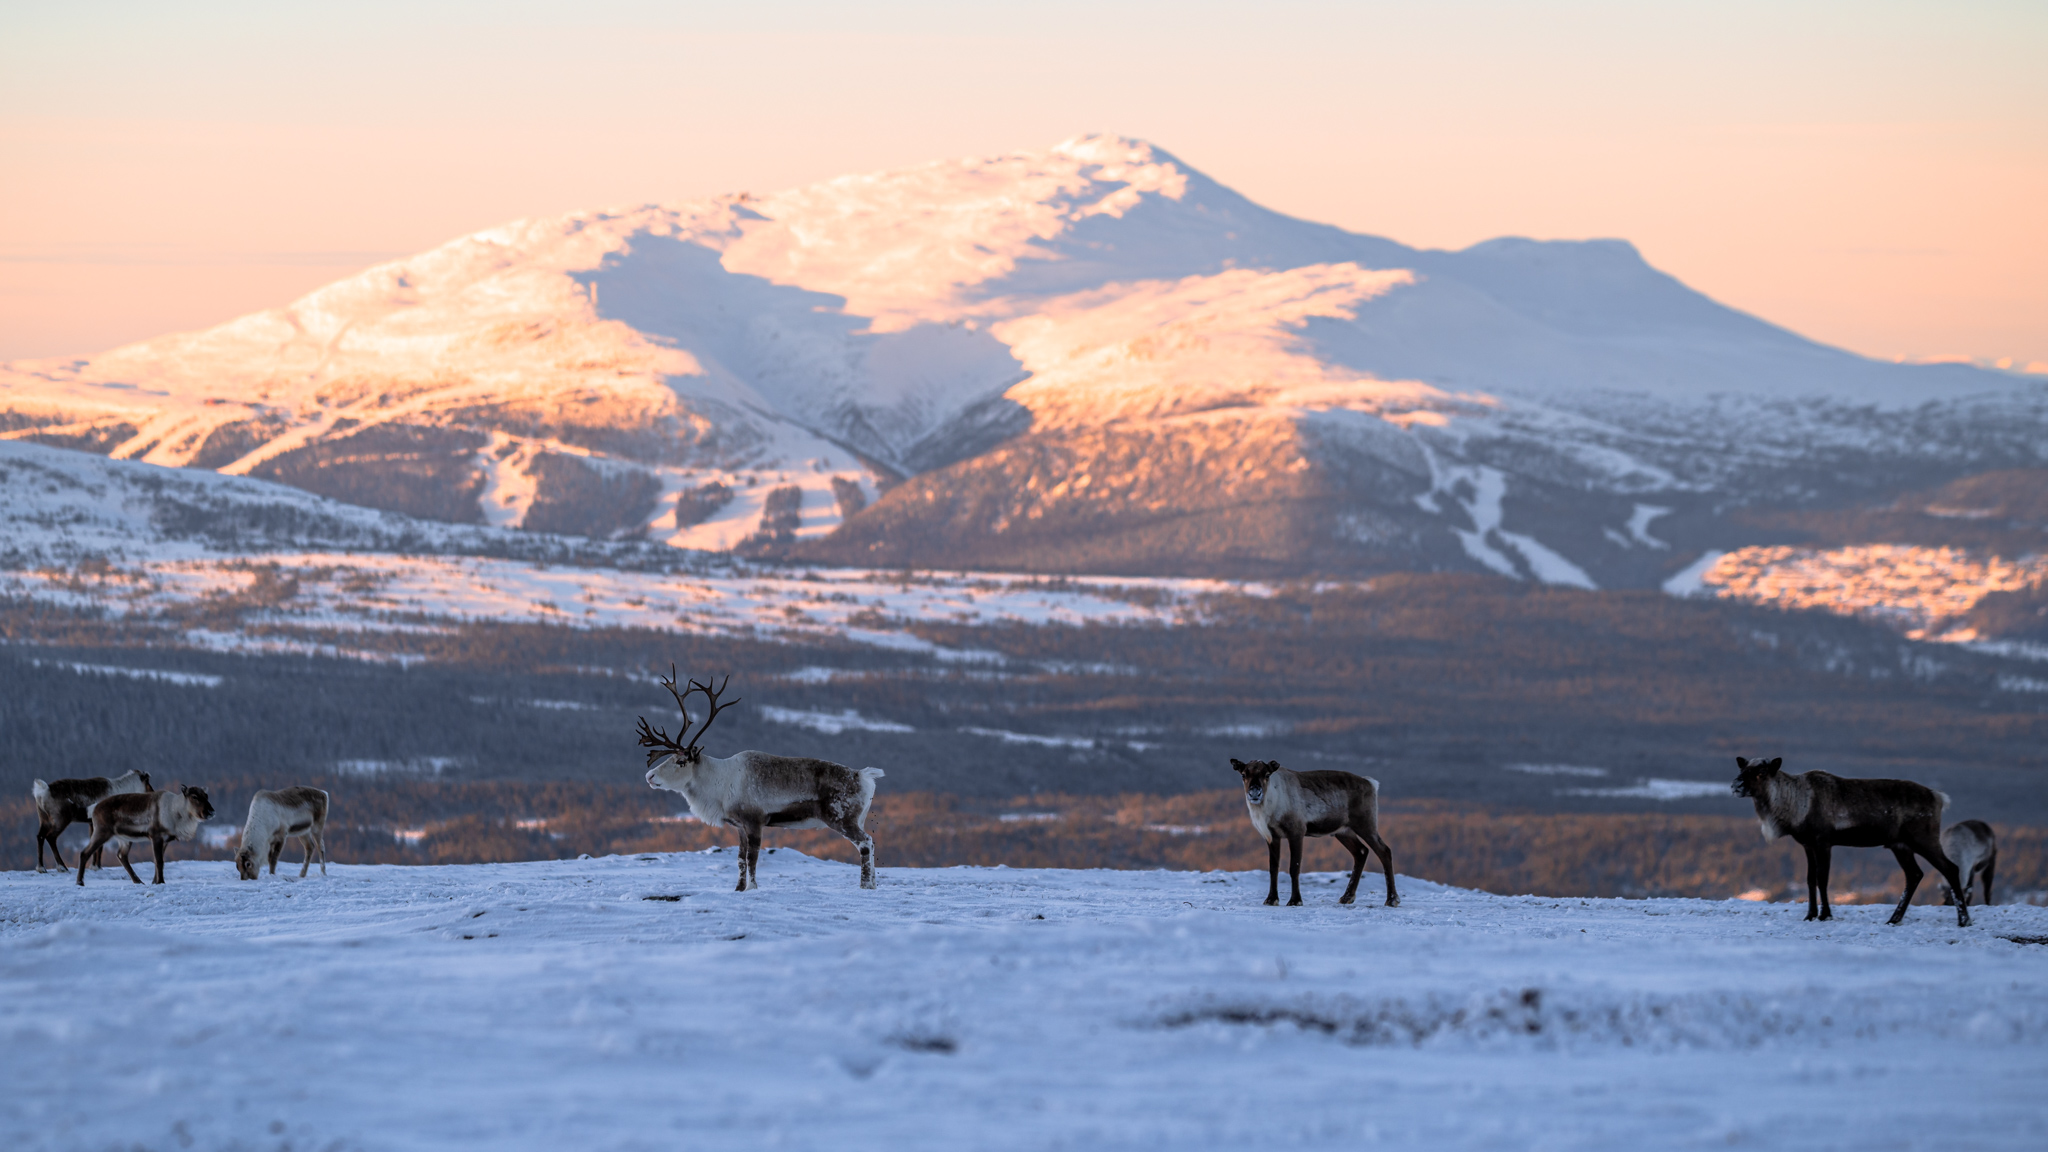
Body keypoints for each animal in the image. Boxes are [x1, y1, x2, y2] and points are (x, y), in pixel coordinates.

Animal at [75, 783, 214, 881]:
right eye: (194, 796)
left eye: (206, 796)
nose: (211, 812)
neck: (177, 814)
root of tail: (94, 808)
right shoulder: (156, 835)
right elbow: (159, 861)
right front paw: (160, 882)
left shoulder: (165, 840)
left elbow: (158, 862)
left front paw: (154, 882)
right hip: (102, 832)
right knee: (84, 853)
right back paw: (80, 882)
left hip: (124, 839)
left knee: (121, 855)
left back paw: (138, 881)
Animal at [1220, 754, 1400, 906]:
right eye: (1243, 774)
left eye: (1267, 774)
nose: (1255, 793)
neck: (1270, 807)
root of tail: (1371, 783)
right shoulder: (1272, 836)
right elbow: (1273, 868)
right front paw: (1271, 899)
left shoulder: (1296, 831)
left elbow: (1294, 867)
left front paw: (1295, 901)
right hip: (1343, 831)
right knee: (1361, 852)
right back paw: (1347, 897)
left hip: (1366, 824)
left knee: (1384, 850)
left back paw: (1392, 900)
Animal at [1728, 758, 1966, 926]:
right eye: (1743, 769)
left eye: (1761, 773)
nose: (1735, 785)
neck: (1794, 806)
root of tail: (1939, 798)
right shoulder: (1807, 844)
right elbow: (1809, 879)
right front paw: (1809, 915)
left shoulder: (1823, 841)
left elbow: (1822, 879)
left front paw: (1825, 915)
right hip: (1900, 846)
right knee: (1914, 874)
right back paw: (1893, 919)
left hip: (1923, 838)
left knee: (1950, 868)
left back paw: (1963, 920)